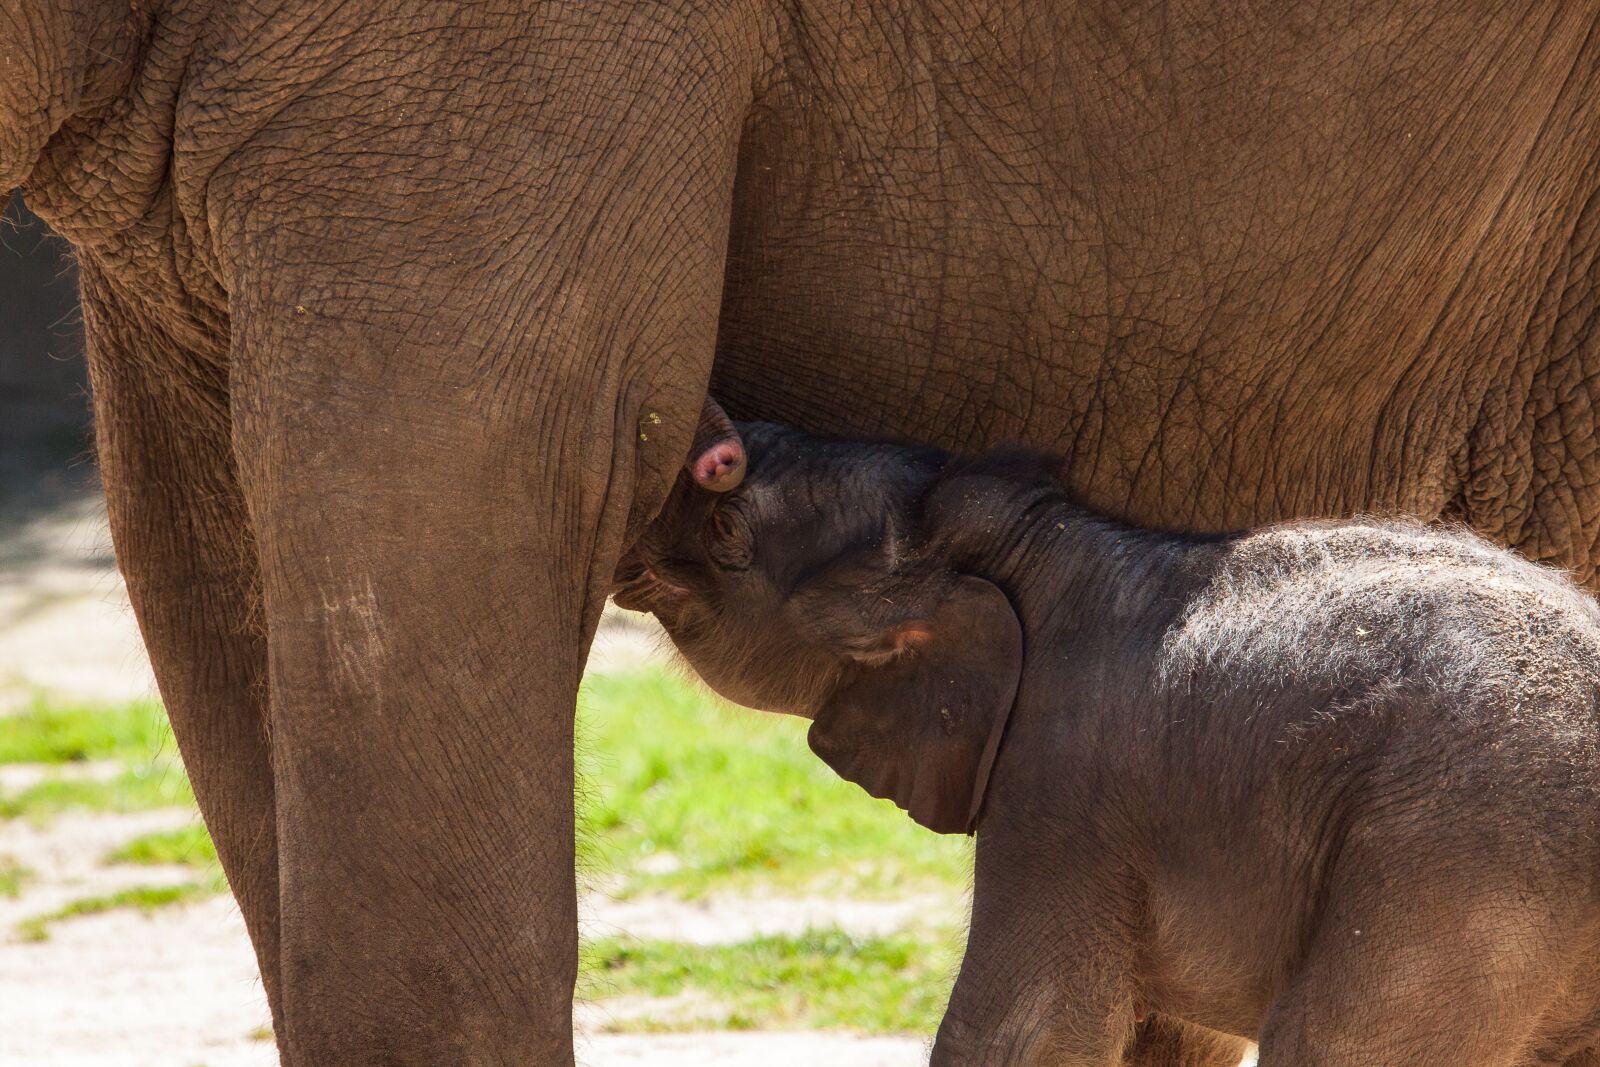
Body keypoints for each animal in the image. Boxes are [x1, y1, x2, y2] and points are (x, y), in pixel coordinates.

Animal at [620, 413, 1600, 1065]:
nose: (712, 445)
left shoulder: (1062, 793)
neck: (1032, 546)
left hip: (1461, 862)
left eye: (730, 531)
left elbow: (1024, 1029)